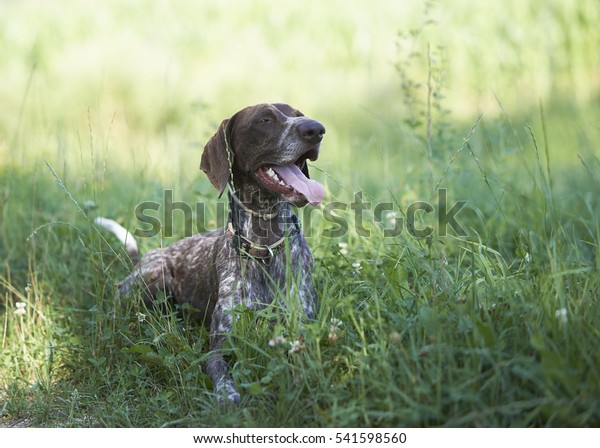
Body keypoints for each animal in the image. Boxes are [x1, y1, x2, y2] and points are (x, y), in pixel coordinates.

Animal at [96, 103, 326, 404]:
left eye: (299, 114)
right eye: (265, 119)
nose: (316, 129)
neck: (265, 246)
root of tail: (143, 258)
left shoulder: (301, 326)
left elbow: (304, 364)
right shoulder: (220, 345)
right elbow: (222, 377)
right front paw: (229, 398)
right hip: (154, 279)